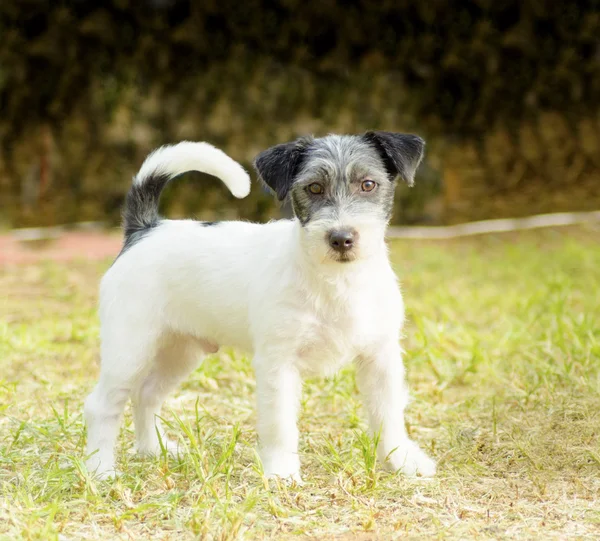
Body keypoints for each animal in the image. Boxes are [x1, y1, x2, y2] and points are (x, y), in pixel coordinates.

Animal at [84, 134, 436, 480]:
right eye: (314, 188)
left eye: (368, 184)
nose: (341, 238)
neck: (337, 281)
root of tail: (145, 230)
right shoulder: (278, 364)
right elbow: (280, 424)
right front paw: (282, 472)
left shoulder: (380, 358)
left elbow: (388, 416)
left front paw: (402, 460)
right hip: (130, 350)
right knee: (101, 405)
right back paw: (100, 468)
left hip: (180, 352)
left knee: (146, 396)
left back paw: (154, 450)